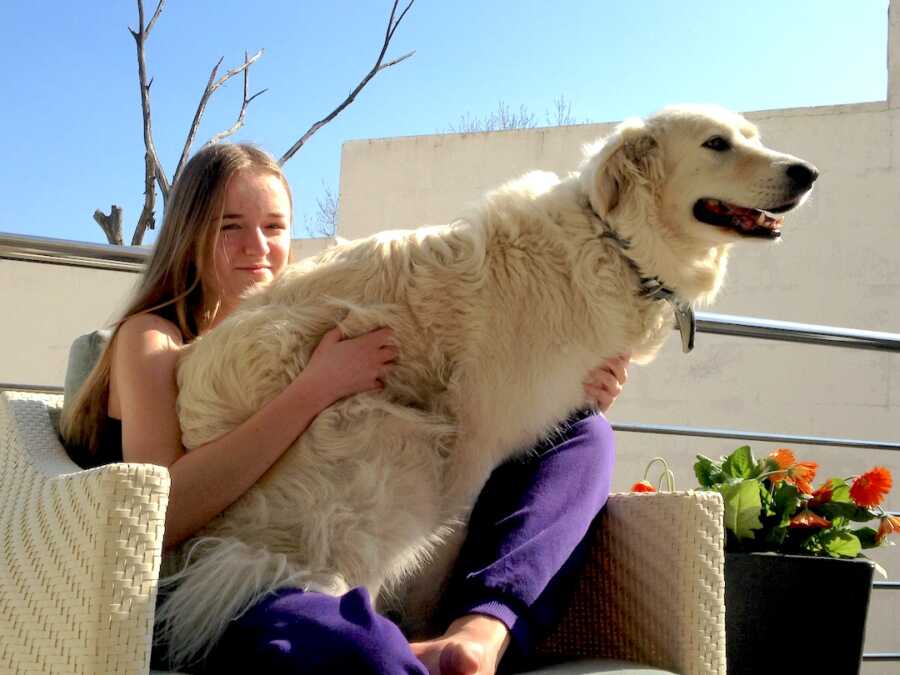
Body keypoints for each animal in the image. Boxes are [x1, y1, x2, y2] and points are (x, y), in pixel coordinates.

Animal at [158, 105, 820, 664]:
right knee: (341, 575)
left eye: (754, 137)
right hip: (396, 446)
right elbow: (443, 556)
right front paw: (423, 628)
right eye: (716, 144)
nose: (808, 172)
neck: (614, 241)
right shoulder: (473, 447)